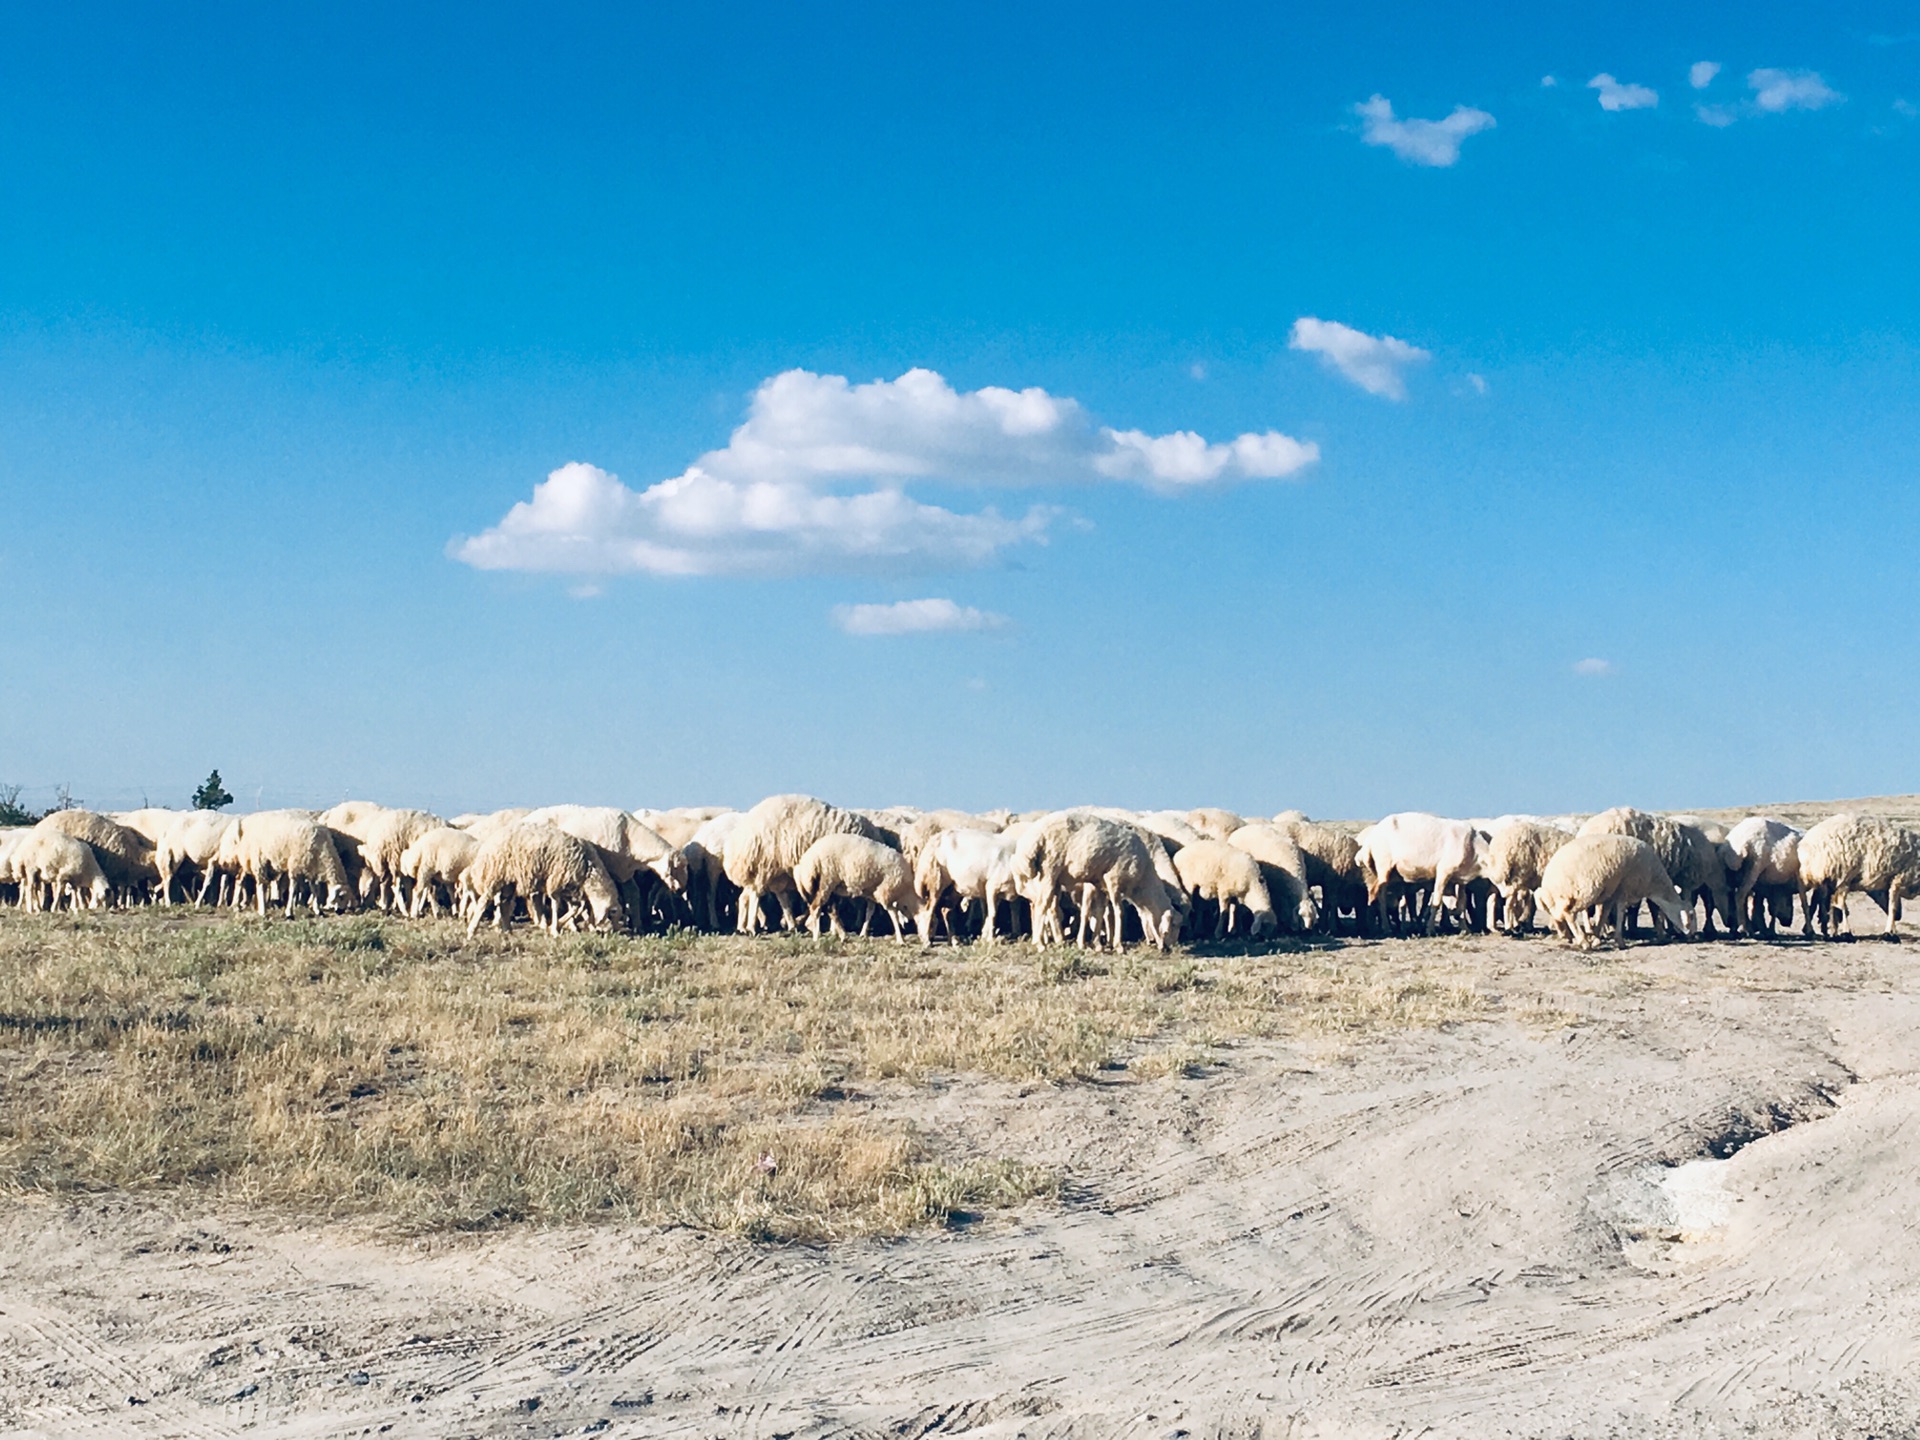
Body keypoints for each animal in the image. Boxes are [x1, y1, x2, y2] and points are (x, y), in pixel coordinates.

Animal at [464, 829, 622, 940]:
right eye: (613, 913)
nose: (609, 934)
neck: (588, 867)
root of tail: (487, 845)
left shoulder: (568, 887)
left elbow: (576, 908)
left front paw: (556, 925)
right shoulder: (556, 881)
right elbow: (555, 905)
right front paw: (554, 929)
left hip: (509, 881)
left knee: (504, 903)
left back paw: (507, 931)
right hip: (495, 875)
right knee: (484, 901)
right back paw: (471, 931)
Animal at [1536, 829, 1689, 952]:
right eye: (1691, 915)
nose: (1692, 935)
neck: (1653, 882)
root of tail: (1548, 880)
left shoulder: (1612, 893)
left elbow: (1604, 914)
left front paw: (1596, 937)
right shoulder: (1625, 889)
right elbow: (1620, 913)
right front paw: (1618, 941)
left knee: (1559, 913)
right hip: (1580, 892)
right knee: (1569, 914)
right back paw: (1583, 941)